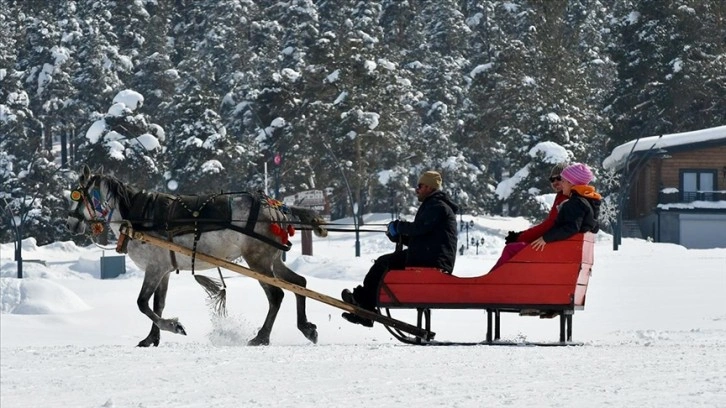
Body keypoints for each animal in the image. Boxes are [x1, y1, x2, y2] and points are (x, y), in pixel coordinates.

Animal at [67, 166, 328, 348]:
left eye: (77, 196)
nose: (70, 224)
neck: (139, 217)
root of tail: (277, 208)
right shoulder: (163, 270)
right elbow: (158, 304)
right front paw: (151, 338)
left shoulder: (154, 268)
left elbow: (142, 303)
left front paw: (173, 326)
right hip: (271, 260)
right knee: (299, 284)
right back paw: (307, 328)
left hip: (258, 260)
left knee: (276, 295)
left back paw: (261, 337)